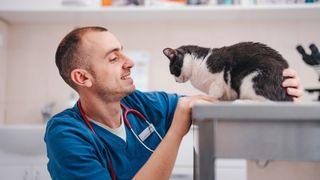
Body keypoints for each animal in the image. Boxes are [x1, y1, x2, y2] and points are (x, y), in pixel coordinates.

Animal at [164, 41, 294, 101]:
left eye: (173, 70)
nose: (176, 81)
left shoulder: (219, 75)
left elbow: (215, 91)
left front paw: (208, 98)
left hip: (252, 78)